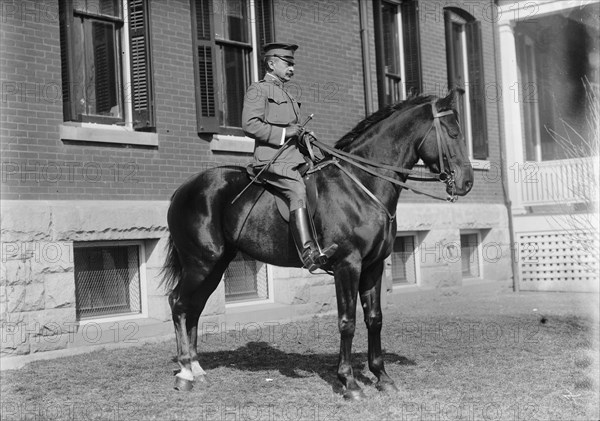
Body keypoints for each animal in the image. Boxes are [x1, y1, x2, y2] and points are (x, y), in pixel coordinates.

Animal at [163, 91, 474, 398]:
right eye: (453, 132)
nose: (467, 182)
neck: (361, 184)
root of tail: (184, 188)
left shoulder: (373, 266)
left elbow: (375, 319)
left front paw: (382, 377)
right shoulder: (348, 265)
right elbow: (347, 322)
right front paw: (349, 382)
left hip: (215, 266)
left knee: (194, 307)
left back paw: (196, 369)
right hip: (200, 263)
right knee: (179, 303)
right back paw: (185, 372)